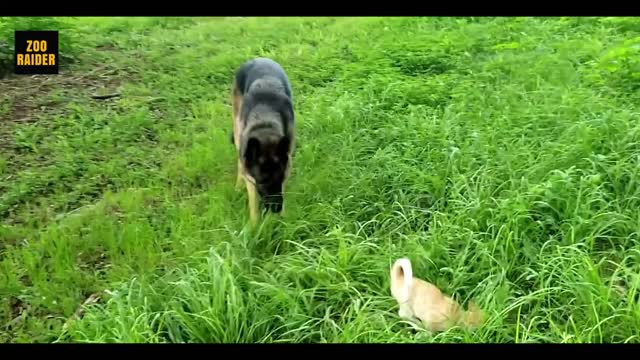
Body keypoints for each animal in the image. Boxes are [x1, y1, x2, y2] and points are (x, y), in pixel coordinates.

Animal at [230, 57, 296, 222]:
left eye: (280, 178)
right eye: (262, 182)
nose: (276, 209)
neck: (265, 122)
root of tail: (257, 58)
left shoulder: (287, 166)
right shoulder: (252, 179)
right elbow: (254, 203)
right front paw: (254, 225)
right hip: (237, 131)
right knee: (240, 163)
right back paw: (238, 184)